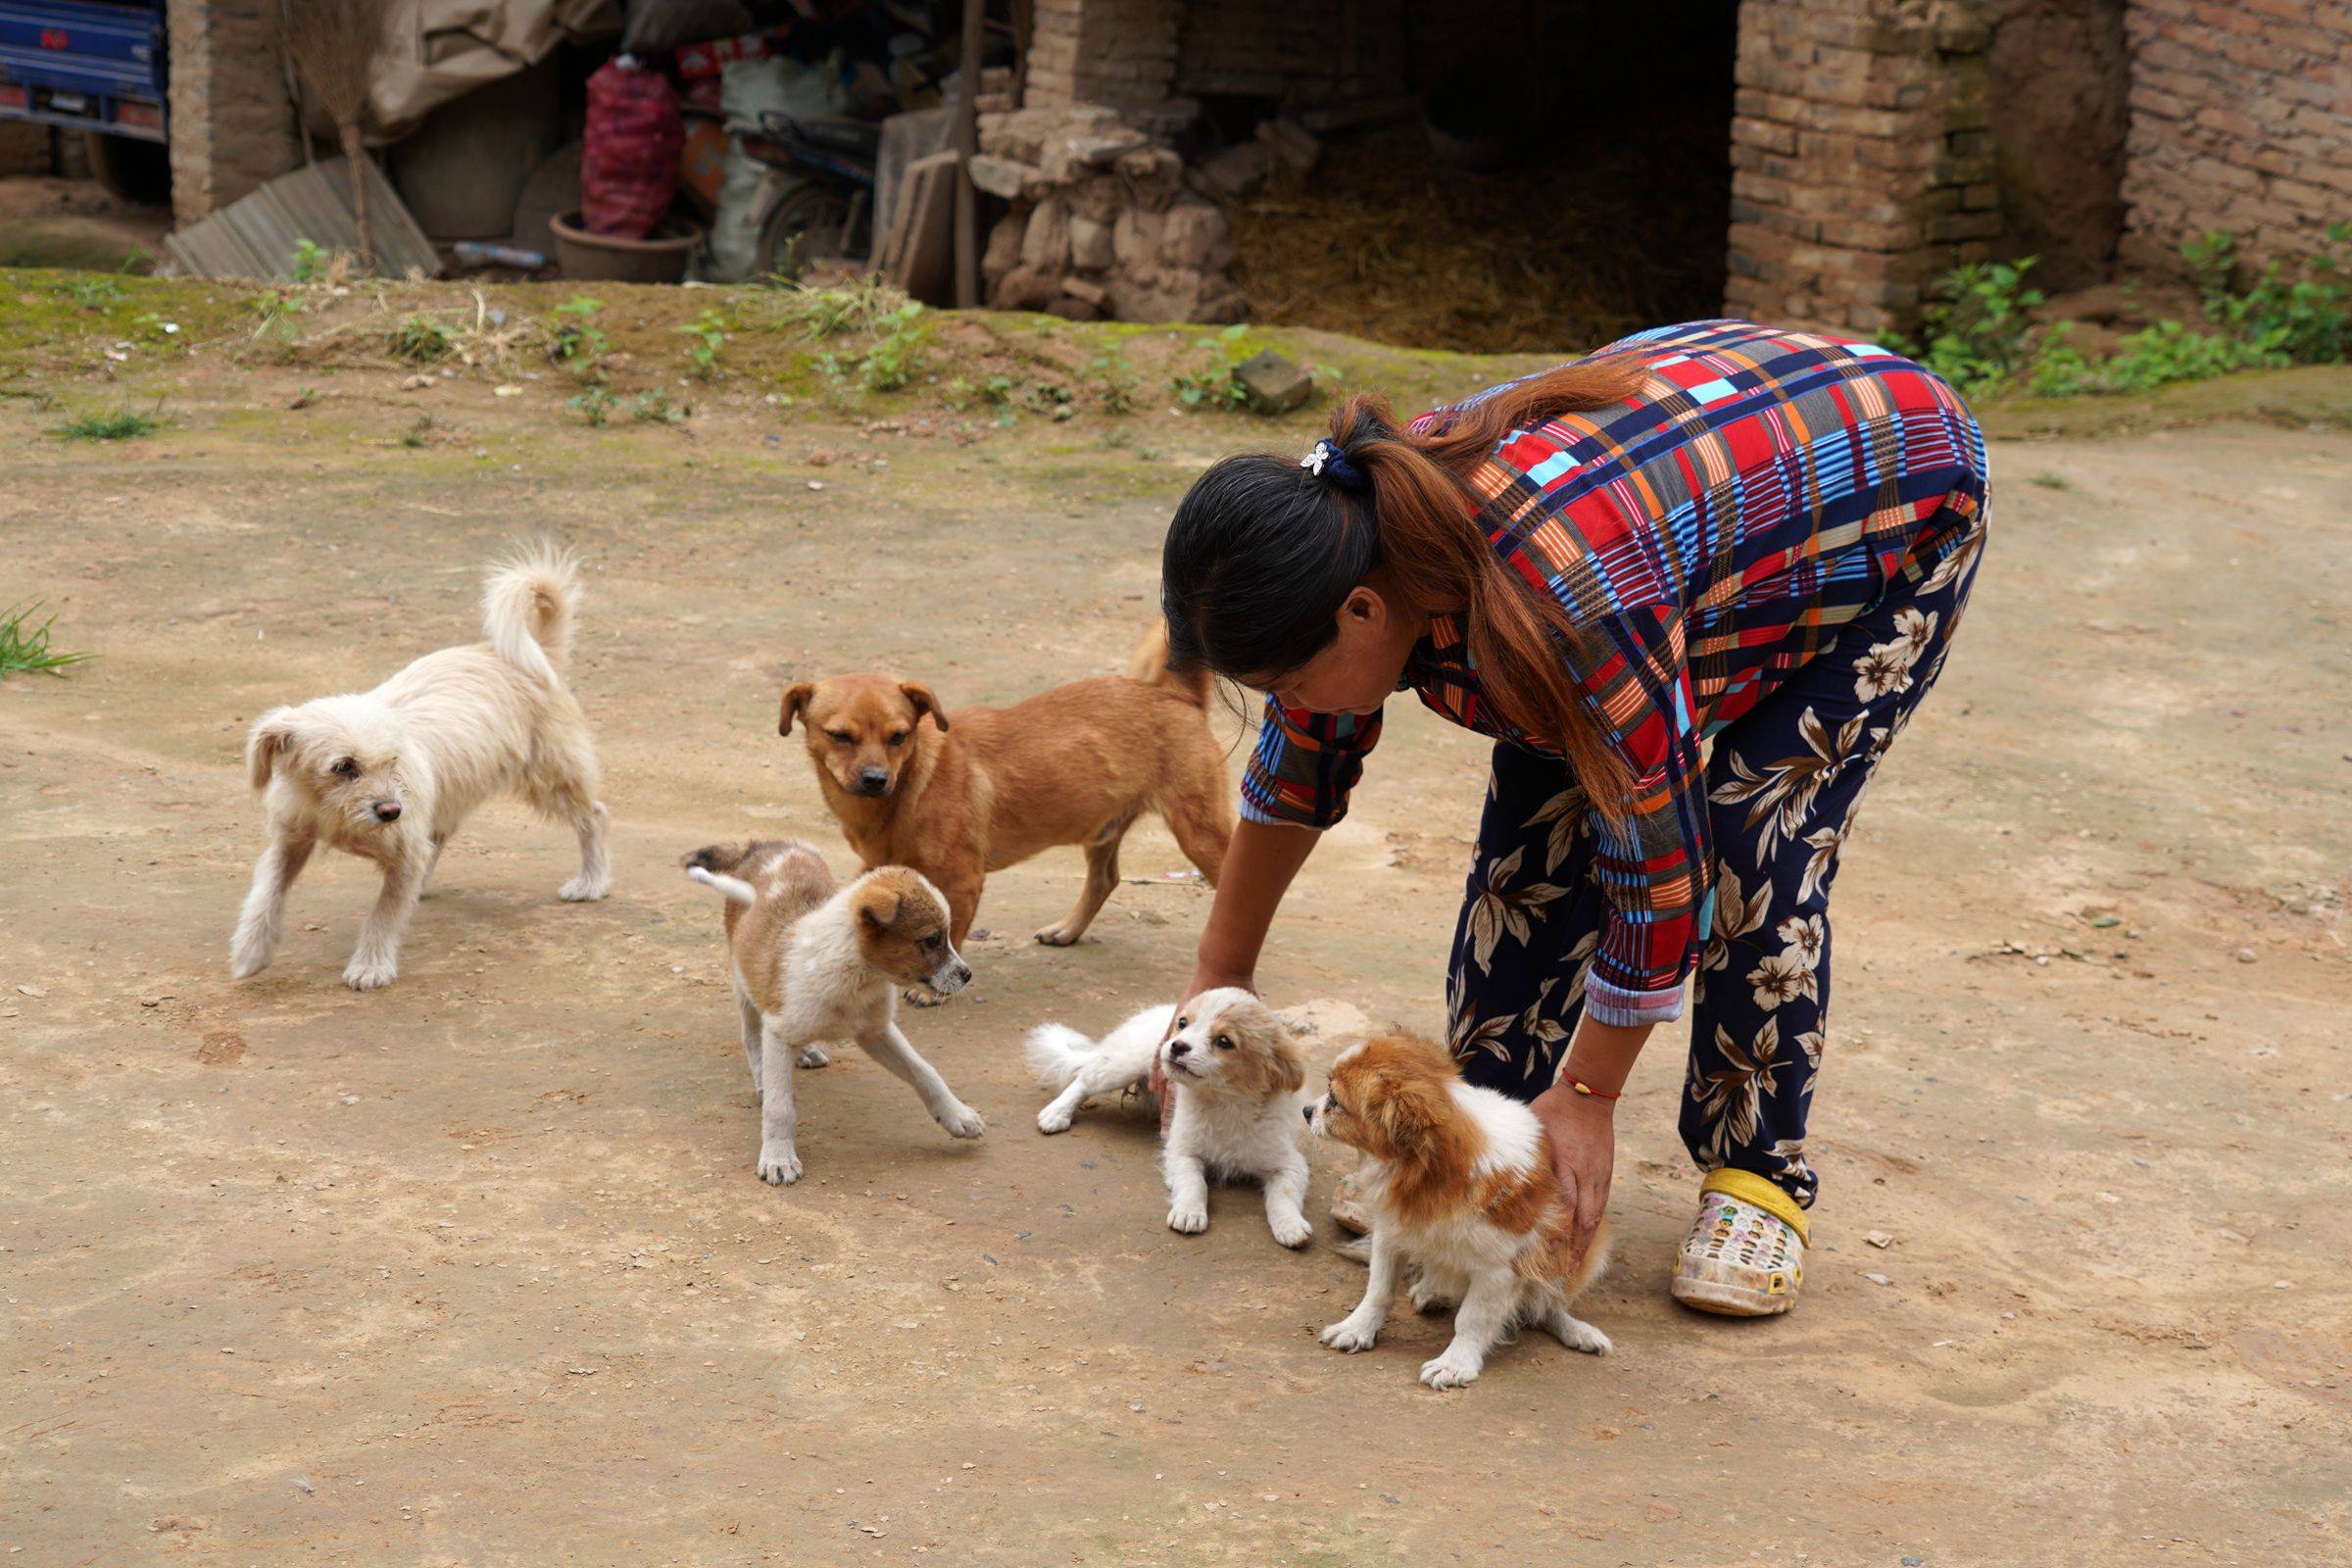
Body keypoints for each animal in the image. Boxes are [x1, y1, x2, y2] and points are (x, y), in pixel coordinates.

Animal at [227, 550, 612, 992]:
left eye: (392, 761)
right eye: (344, 767)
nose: (392, 811)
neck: (332, 812)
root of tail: (538, 653)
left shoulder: (405, 853)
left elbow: (383, 913)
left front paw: (370, 966)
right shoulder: (289, 842)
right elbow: (265, 894)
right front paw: (251, 952)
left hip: (552, 777)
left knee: (593, 815)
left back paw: (592, 881)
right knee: (440, 836)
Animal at [682, 841, 983, 1184]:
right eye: (932, 940)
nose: (967, 975)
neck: (856, 977)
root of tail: (761, 845)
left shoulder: (875, 1031)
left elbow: (925, 1071)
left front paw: (956, 1115)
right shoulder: (778, 1029)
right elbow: (779, 1106)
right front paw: (778, 1157)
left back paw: (807, 1051)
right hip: (745, 982)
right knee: (752, 1038)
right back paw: (762, 1082)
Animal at [785, 625, 1242, 958]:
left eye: (899, 736)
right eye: (840, 736)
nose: (875, 779)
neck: (912, 784)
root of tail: (1177, 695)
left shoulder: (963, 879)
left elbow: (950, 936)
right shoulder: (878, 867)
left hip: (1199, 833)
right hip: (1103, 829)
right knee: (1104, 880)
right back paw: (1067, 930)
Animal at [1020, 992, 1317, 1250]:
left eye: (1224, 1041)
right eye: (1183, 1024)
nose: (1176, 1045)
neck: (1225, 1105)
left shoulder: (1290, 1164)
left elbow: (1283, 1195)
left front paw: (1290, 1226)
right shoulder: (1182, 1152)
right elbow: (1194, 1183)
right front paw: (1189, 1212)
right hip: (1125, 1064)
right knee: (1084, 1079)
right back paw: (1057, 1113)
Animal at [1307, 1034, 1618, 1392]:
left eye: (1333, 1101)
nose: (1306, 1110)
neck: (1431, 1176)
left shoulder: (1499, 1270)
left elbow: (1472, 1320)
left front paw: (1455, 1364)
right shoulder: (1390, 1236)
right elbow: (1379, 1291)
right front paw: (1356, 1329)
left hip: (1577, 1251)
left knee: (1543, 1304)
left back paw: (1578, 1331)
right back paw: (1431, 1291)